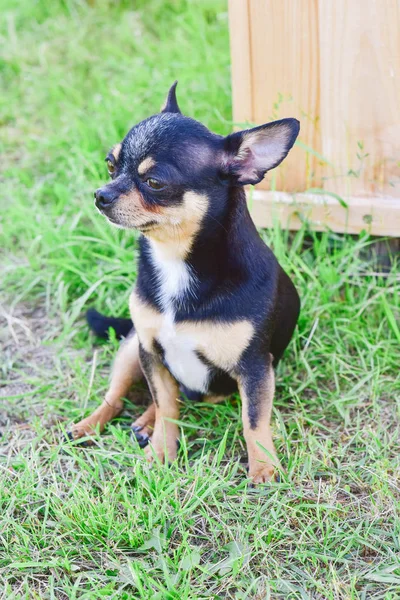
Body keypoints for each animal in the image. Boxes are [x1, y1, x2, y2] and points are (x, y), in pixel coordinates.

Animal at [69, 82, 300, 482]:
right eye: (111, 164)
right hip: (130, 349)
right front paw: (162, 452)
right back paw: (92, 424)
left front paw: (264, 468)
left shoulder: (255, 369)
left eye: (154, 182)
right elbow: (167, 405)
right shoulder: (150, 351)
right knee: (118, 397)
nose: (101, 194)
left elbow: (254, 419)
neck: (175, 261)